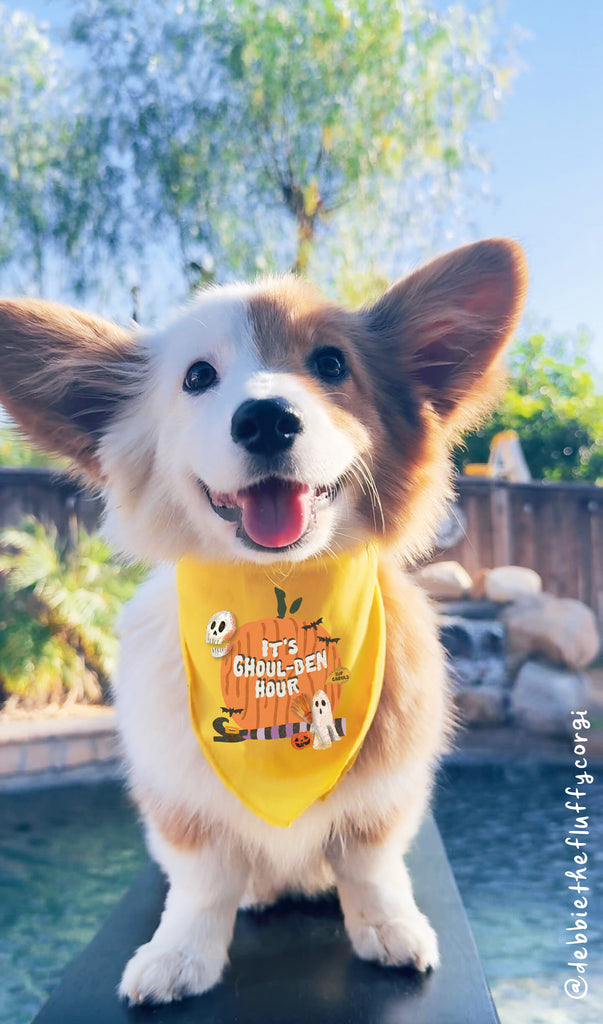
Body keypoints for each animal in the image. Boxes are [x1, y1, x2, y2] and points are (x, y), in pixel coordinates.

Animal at [0, 237, 528, 999]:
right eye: (197, 377)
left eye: (331, 363)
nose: (267, 418)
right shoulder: (181, 803)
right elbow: (202, 883)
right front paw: (178, 956)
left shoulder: (386, 794)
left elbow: (370, 866)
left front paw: (388, 927)